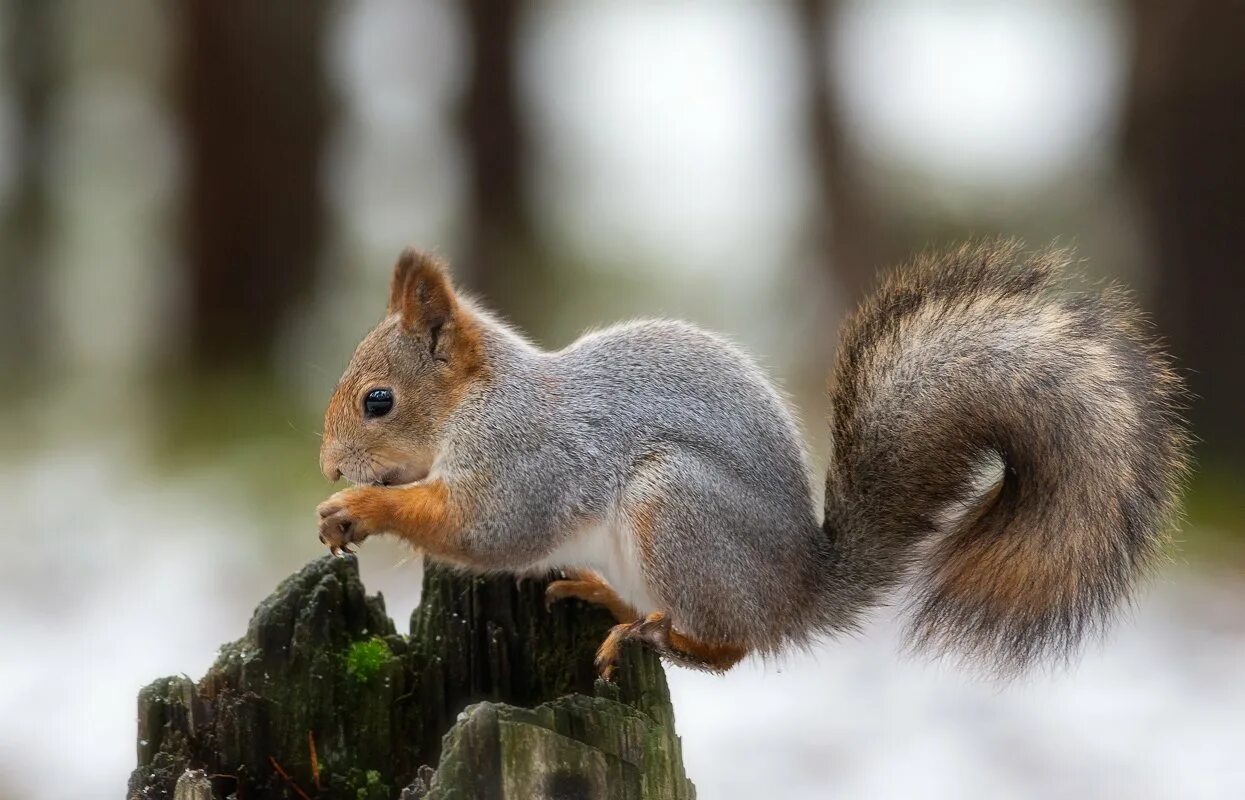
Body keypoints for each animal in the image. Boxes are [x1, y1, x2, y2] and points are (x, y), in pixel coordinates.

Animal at [316, 241, 1190, 676]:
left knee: (732, 648)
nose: (328, 466)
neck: (479, 400)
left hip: (674, 510)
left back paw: (654, 636)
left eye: (378, 401)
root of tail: (796, 591)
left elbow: (486, 530)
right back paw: (613, 601)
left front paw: (359, 509)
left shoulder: (527, 458)